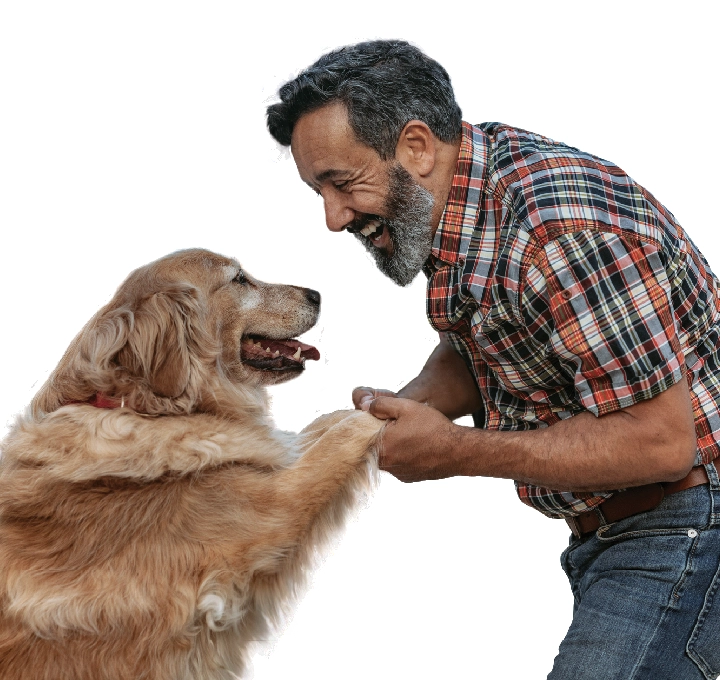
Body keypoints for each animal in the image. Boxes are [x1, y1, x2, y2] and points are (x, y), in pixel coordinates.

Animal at [0, 250, 382, 680]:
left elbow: (324, 426)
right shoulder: (274, 506)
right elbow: (345, 433)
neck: (145, 407)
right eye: (239, 279)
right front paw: (389, 413)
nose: (316, 294)